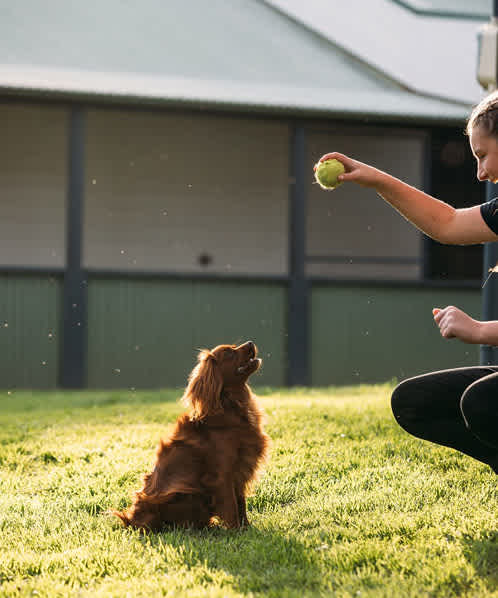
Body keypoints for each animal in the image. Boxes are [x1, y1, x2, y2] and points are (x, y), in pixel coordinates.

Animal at [113, 340, 268, 532]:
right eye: (228, 353)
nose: (251, 342)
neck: (232, 405)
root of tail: (131, 521)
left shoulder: (240, 469)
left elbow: (241, 503)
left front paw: (246, 528)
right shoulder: (222, 474)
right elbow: (232, 507)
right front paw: (236, 532)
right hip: (185, 493)